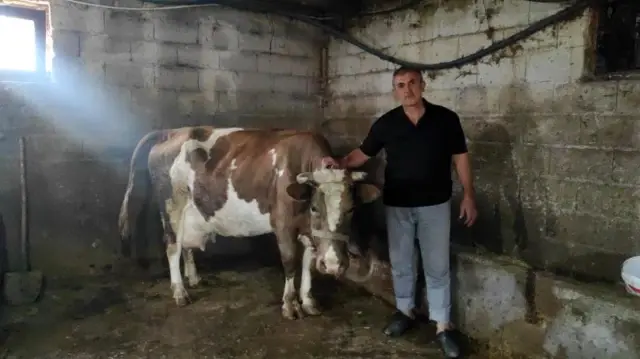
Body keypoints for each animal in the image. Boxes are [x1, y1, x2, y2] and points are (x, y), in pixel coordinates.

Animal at [117, 126, 380, 320]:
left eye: (351, 209)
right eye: (315, 207)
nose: (335, 265)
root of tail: (171, 132)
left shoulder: (308, 230)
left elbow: (308, 264)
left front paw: (308, 301)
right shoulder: (283, 224)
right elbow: (290, 263)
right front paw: (290, 305)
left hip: (191, 211)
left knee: (186, 246)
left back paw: (193, 278)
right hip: (173, 204)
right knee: (172, 246)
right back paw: (180, 292)